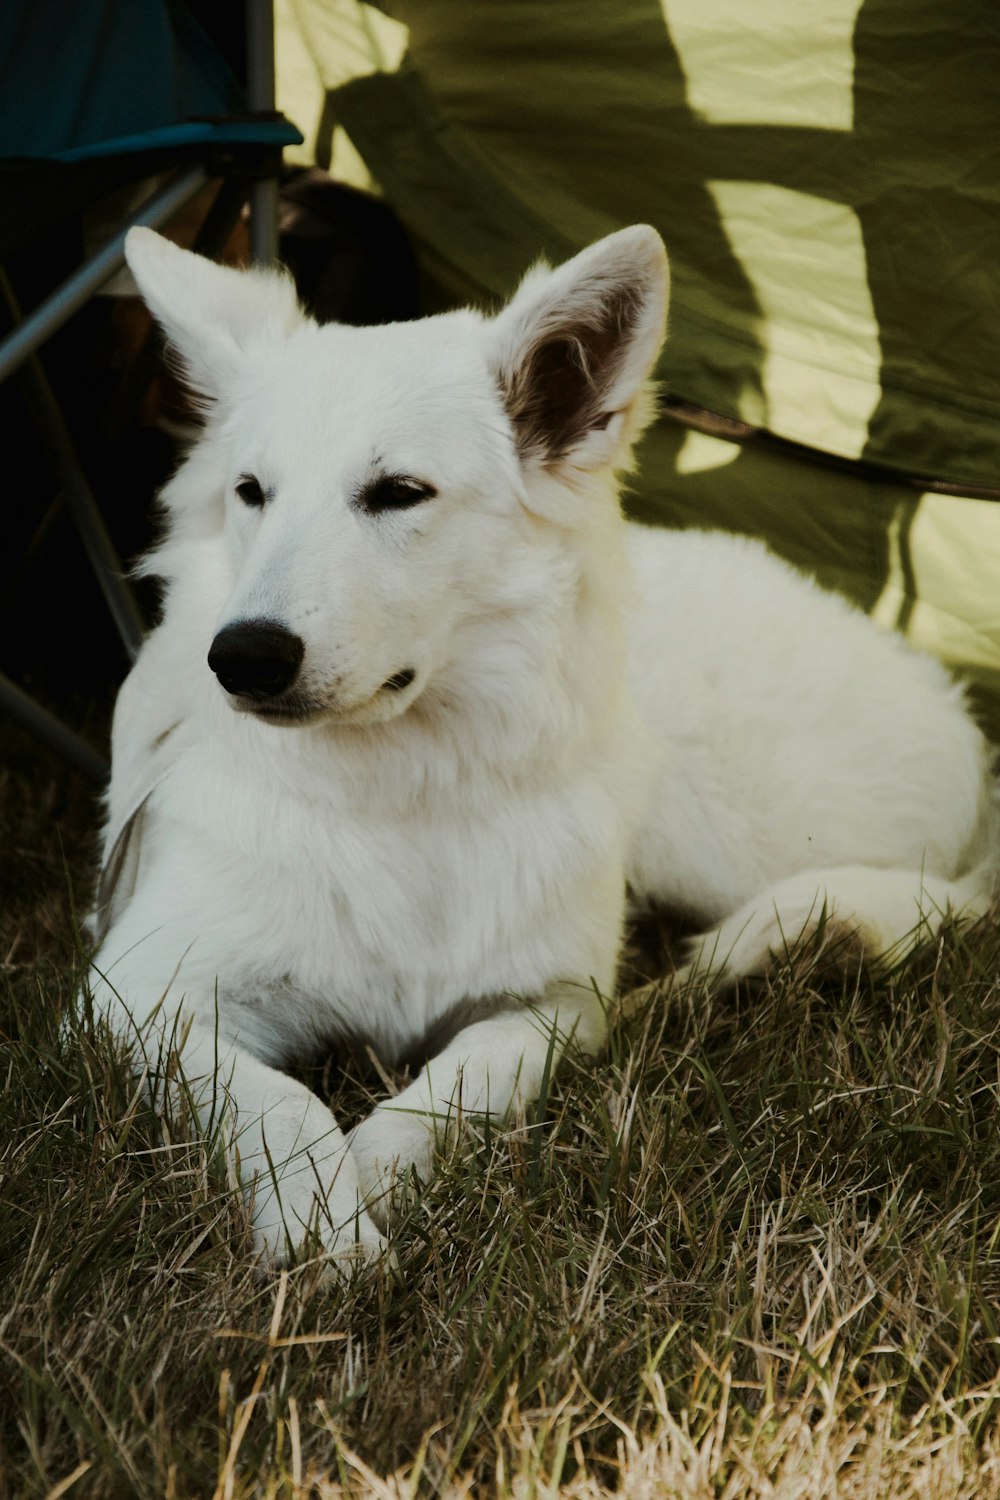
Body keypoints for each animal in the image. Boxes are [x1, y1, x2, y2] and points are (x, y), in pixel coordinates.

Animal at [89, 225, 995, 1266]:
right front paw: (326, 1229)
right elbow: (278, 1101)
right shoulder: (137, 996)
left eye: (399, 493)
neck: (408, 800)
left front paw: (379, 1182)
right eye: (251, 493)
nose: (241, 658)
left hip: (719, 836)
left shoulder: (553, 1004)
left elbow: (456, 1085)